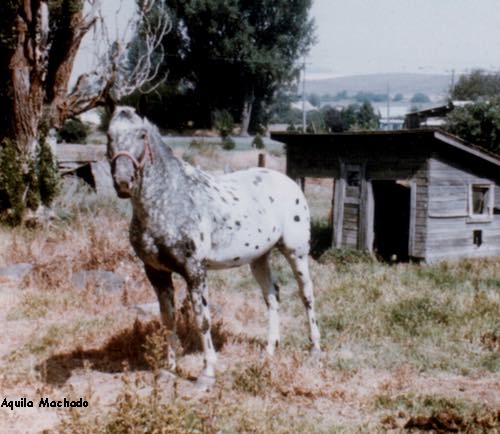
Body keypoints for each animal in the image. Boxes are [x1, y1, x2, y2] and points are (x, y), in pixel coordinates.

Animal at [107, 107, 322, 388]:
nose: (123, 182)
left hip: (296, 252)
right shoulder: (156, 272)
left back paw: (315, 348)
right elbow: (167, 319)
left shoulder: (195, 271)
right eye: (108, 135)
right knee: (272, 297)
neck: (169, 200)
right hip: (259, 258)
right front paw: (169, 368)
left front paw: (207, 373)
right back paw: (269, 350)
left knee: (306, 294)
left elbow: (202, 320)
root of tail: (287, 181)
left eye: (142, 135)